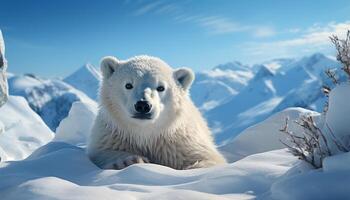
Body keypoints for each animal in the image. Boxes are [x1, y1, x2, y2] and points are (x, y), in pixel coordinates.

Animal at [86, 55, 226, 170]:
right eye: (128, 85)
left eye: (161, 87)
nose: (143, 105)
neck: (146, 135)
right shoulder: (112, 135)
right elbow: (102, 152)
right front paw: (128, 161)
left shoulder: (181, 143)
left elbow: (208, 159)